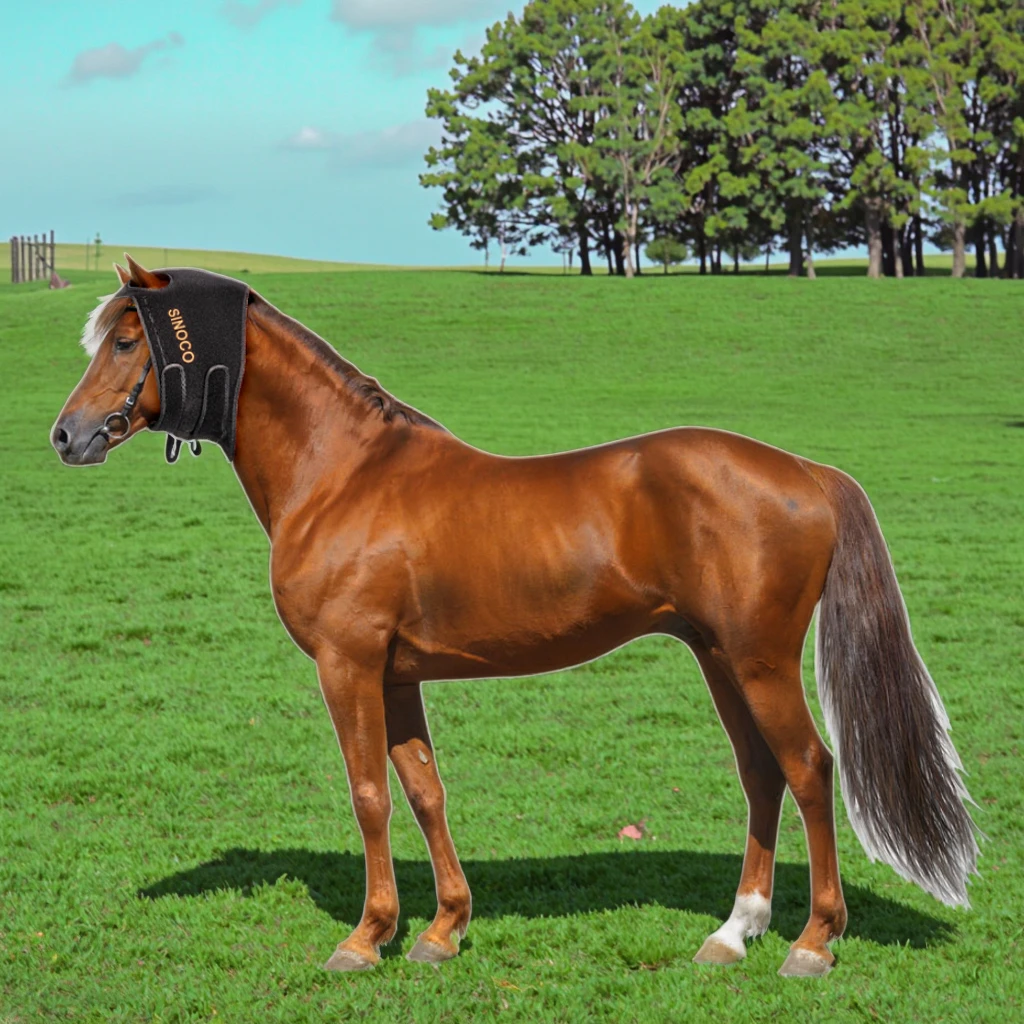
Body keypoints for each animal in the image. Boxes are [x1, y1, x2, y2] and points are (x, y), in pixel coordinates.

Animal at [52, 256, 978, 978]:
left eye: (128, 339)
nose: (67, 436)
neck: (344, 473)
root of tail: (807, 472)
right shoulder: (397, 675)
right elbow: (424, 790)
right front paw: (442, 929)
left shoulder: (348, 663)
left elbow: (368, 794)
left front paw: (366, 938)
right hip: (720, 657)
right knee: (761, 774)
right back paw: (733, 932)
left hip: (759, 662)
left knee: (811, 770)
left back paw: (812, 942)